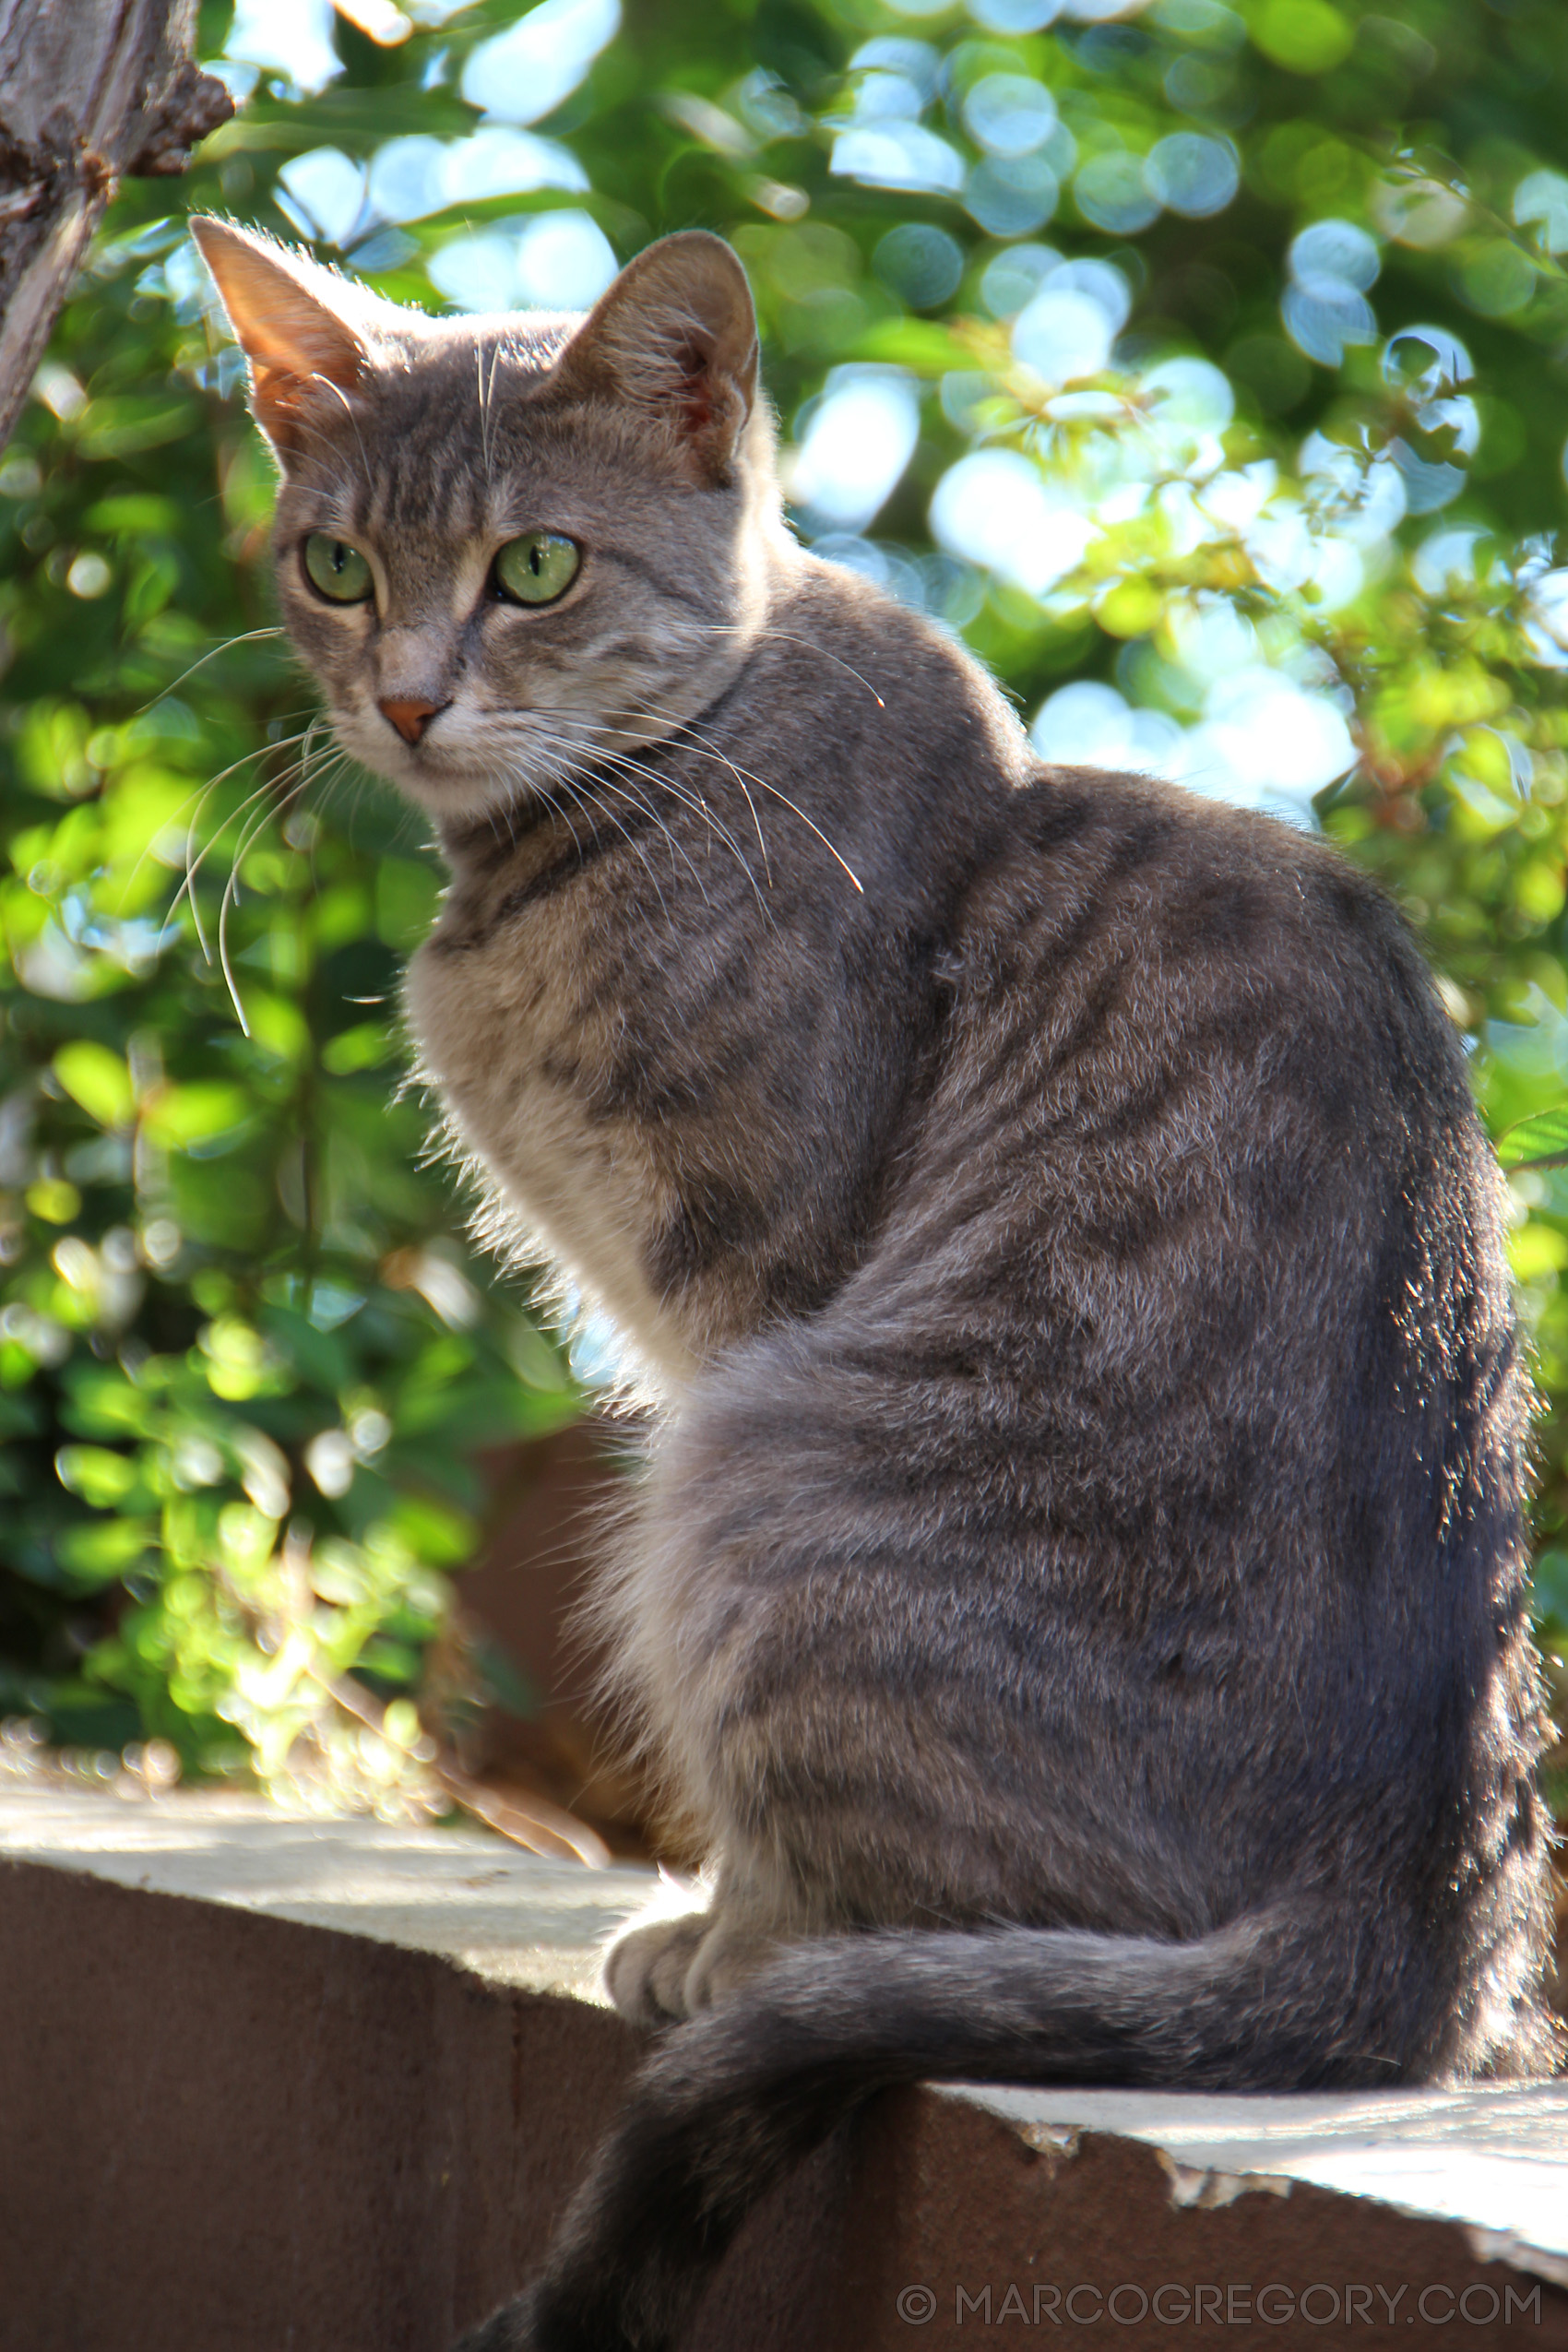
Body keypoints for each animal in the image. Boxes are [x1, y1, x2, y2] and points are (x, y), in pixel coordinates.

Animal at [190, 224, 1561, 2352]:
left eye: (535, 567)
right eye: (336, 566)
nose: (406, 701)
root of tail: (1402, 1955)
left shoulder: (751, 1286)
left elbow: (760, 1824)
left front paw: (716, 1934)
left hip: (760, 1477)